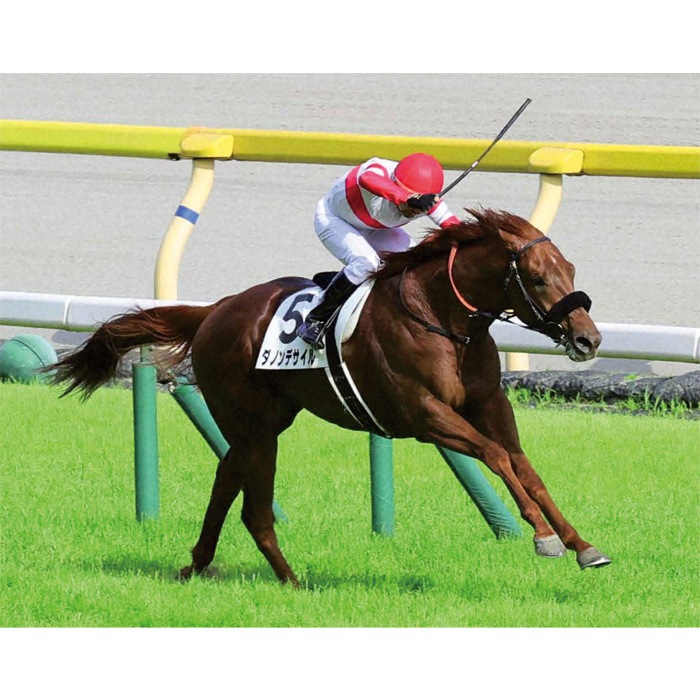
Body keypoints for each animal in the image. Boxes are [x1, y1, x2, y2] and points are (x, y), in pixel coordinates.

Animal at [49, 207, 611, 587]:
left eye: (571, 270)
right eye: (537, 277)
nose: (589, 339)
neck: (445, 320)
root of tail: (216, 308)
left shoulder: (489, 405)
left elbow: (524, 468)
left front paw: (582, 546)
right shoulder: (424, 415)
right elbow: (495, 456)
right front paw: (542, 538)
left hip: (259, 422)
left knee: (226, 480)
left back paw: (197, 565)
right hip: (253, 423)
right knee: (253, 508)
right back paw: (291, 582)